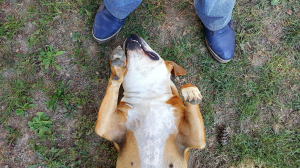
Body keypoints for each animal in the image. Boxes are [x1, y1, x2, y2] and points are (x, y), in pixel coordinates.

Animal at [96, 34, 206, 168]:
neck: (148, 94)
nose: (132, 34)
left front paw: (190, 90)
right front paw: (117, 67)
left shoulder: (196, 140)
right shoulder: (106, 126)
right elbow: (114, 81)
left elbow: (187, 87)